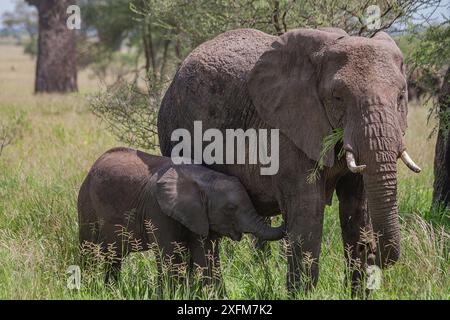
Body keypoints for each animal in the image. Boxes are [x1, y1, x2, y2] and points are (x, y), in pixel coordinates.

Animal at [76, 148, 282, 288]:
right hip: (86, 204)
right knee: (89, 251)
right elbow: (171, 256)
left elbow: (205, 256)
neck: (203, 178)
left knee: (113, 256)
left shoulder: (199, 216)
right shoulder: (157, 210)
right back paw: (89, 287)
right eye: (231, 208)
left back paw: (111, 289)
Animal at [156, 27, 420, 292]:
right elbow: (307, 209)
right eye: (337, 97)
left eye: (401, 97)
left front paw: (357, 291)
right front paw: (302, 294)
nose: (373, 251)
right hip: (176, 128)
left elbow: (356, 205)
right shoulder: (288, 129)